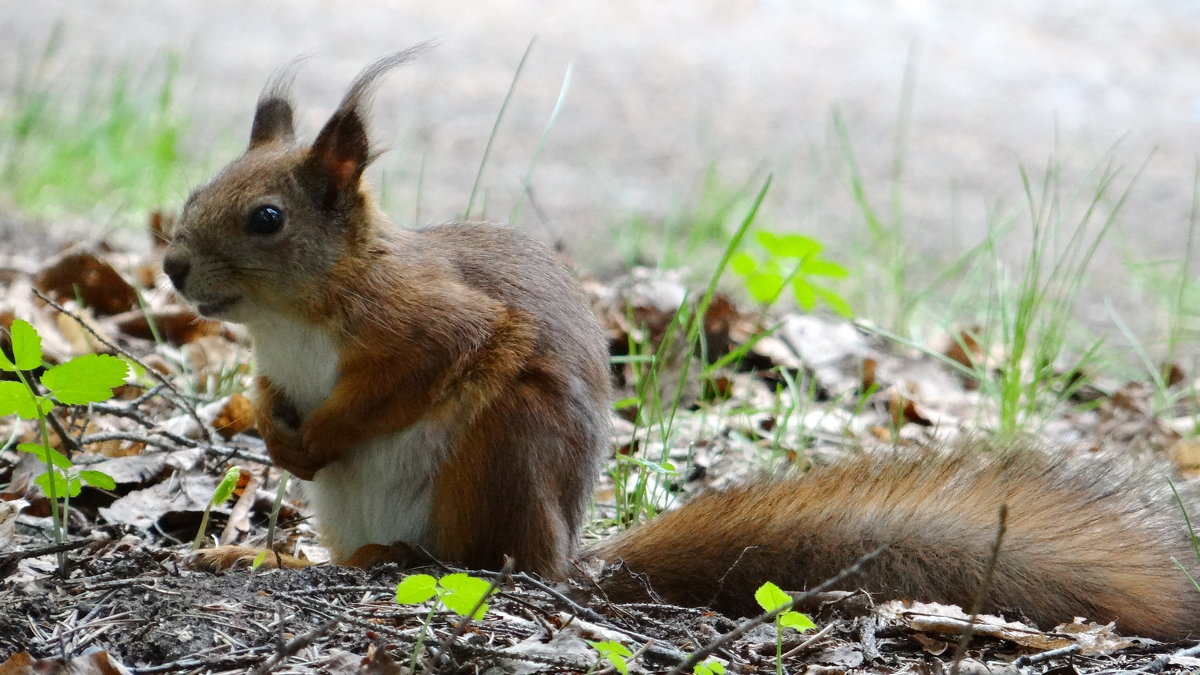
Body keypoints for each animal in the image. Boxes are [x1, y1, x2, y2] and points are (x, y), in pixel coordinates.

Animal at [162, 51, 1200, 634]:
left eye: (265, 218)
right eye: (200, 185)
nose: (170, 266)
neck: (293, 319)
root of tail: (568, 559)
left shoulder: (430, 321)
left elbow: (422, 370)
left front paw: (318, 437)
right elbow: (271, 399)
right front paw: (269, 428)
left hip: (505, 451)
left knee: (479, 561)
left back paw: (392, 558)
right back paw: (262, 559)